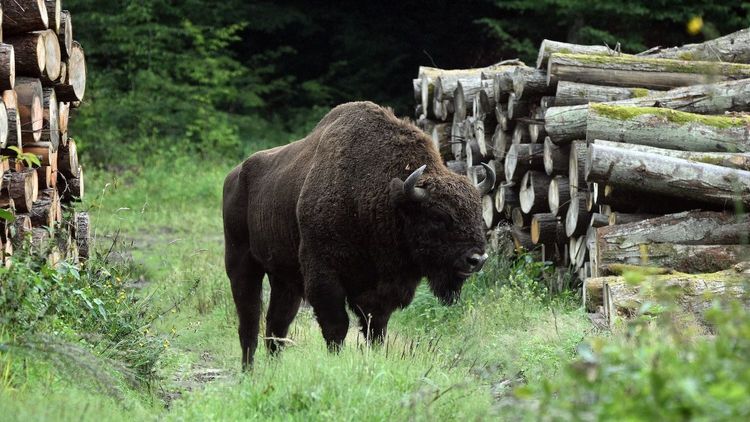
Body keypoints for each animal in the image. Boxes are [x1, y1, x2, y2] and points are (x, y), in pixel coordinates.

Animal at [223, 101, 494, 368]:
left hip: (284, 278)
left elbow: (376, 328)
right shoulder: (324, 276)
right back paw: (249, 370)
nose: (477, 259)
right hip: (242, 265)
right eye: (438, 217)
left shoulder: (381, 289)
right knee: (249, 319)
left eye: (477, 211)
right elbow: (336, 326)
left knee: (276, 324)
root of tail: (234, 176)